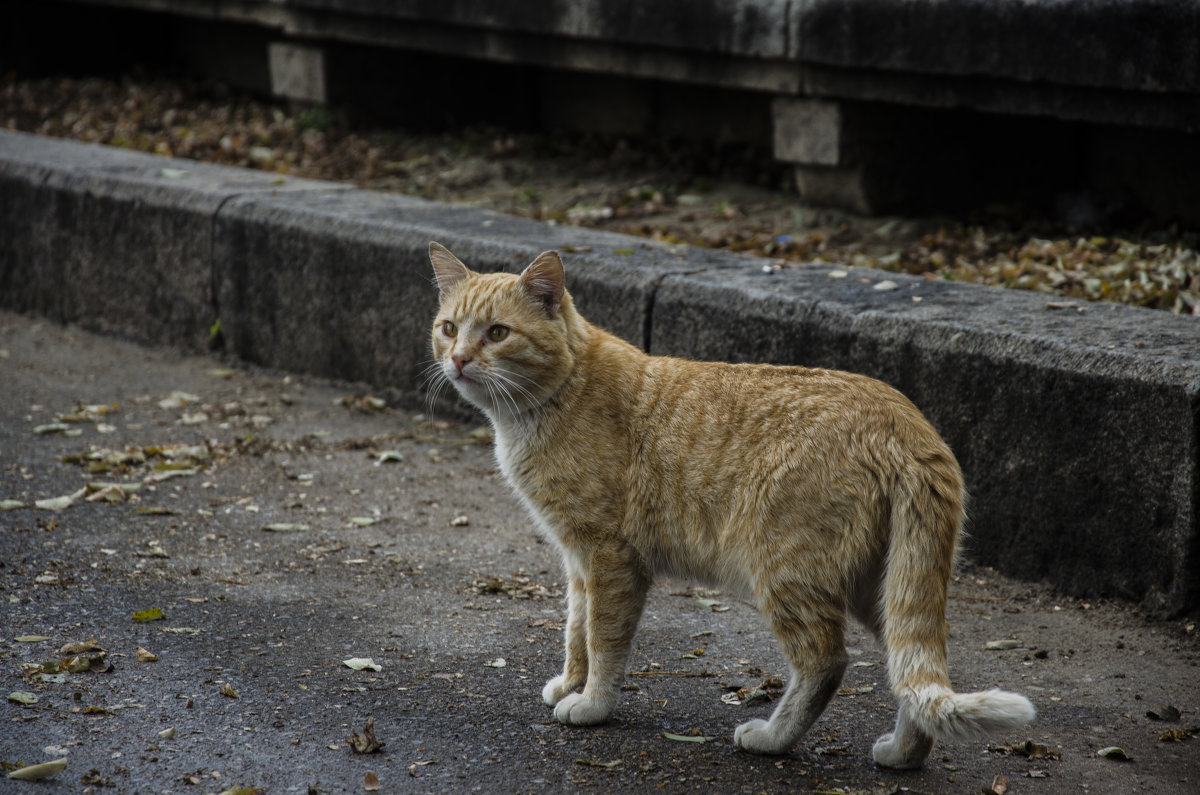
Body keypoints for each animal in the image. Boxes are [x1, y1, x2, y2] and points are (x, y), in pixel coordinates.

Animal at [429, 244, 1032, 773]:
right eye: (449, 328)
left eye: (497, 333)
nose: (457, 359)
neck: (550, 401)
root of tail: (906, 422)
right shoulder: (577, 560)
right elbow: (575, 632)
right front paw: (571, 683)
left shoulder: (609, 559)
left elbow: (603, 640)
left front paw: (593, 703)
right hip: (879, 587)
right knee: (910, 666)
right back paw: (904, 754)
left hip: (787, 573)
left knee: (825, 663)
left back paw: (772, 738)